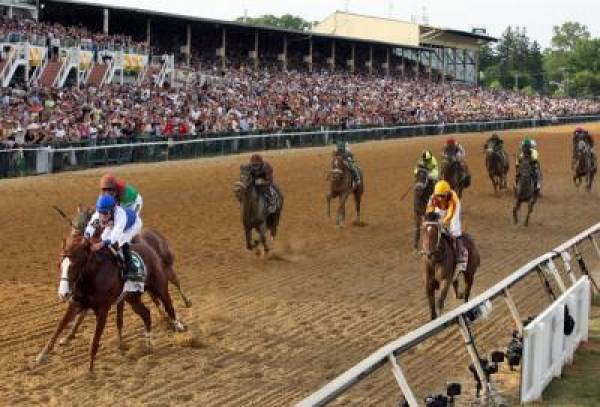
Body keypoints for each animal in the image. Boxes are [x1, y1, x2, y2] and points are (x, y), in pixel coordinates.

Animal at [37, 209, 185, 372]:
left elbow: (95, 339)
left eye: (75, 266)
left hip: (159, 284)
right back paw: (148, 345)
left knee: (169, 304)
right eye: (59, 265)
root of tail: (149, 249)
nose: (63, 294)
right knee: (146, 314)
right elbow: (60, 326)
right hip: (132, 297)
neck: (93, 276)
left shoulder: (103, 309)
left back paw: (179, 326)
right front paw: (43, 354)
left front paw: (90, 370)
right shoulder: (77, 303)